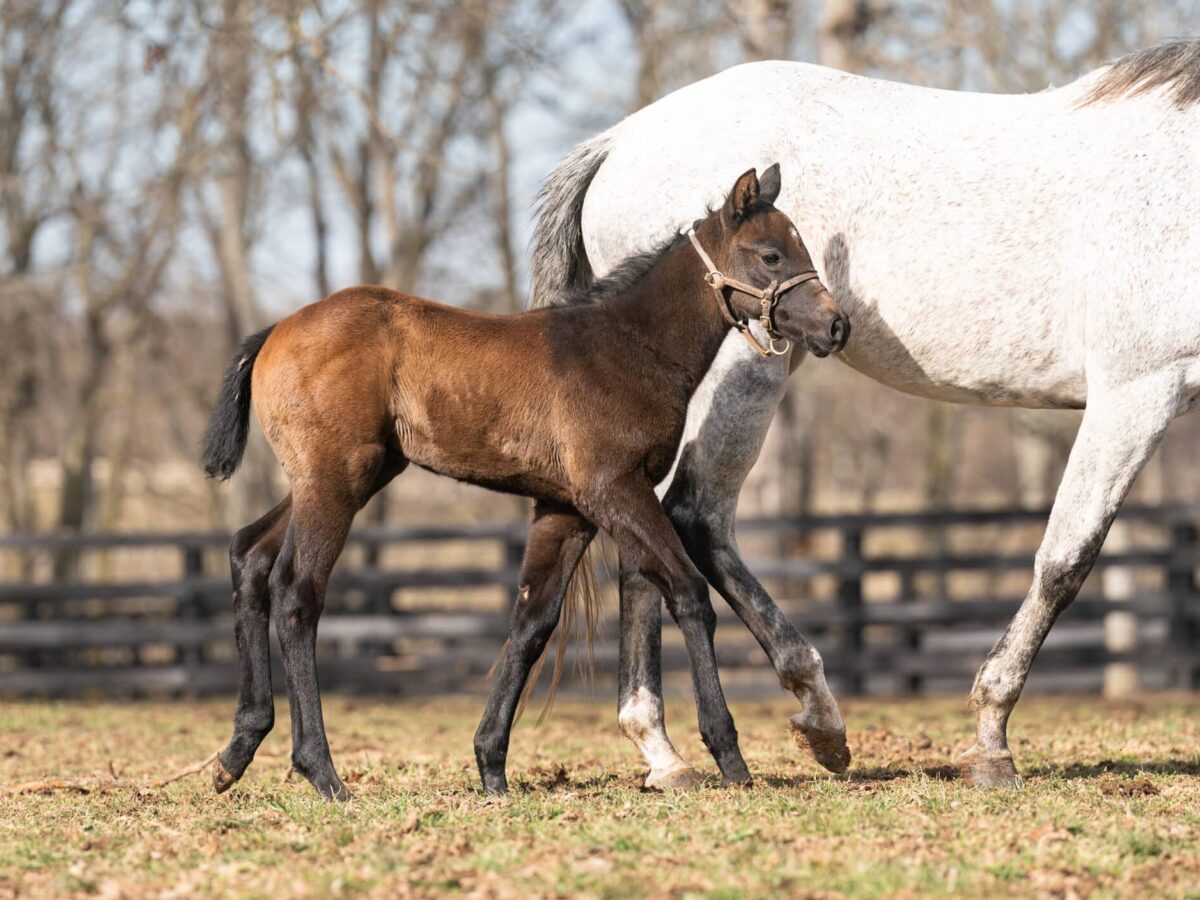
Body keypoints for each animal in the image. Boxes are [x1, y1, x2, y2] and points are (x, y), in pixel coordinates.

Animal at [204, 165, 844, 801]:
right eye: (771, 254)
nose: (836, 326)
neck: (627, 348)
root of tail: (277, 329)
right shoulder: (614, 490)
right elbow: (689, 594)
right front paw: (729, 755)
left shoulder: (566, 510)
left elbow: (533, 622)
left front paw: (491, 767)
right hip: (337, 477)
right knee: (297, 592)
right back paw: (322, 771)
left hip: (340, 475)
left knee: (249, 554)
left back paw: (236, 751)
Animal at [530, 42, 1200, 787]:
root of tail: (619, 141)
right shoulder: (1137, 388)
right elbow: (1065, 559)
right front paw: (991, 739)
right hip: (747, 371)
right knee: (693, 518)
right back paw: (809, 717)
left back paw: (664, 752)